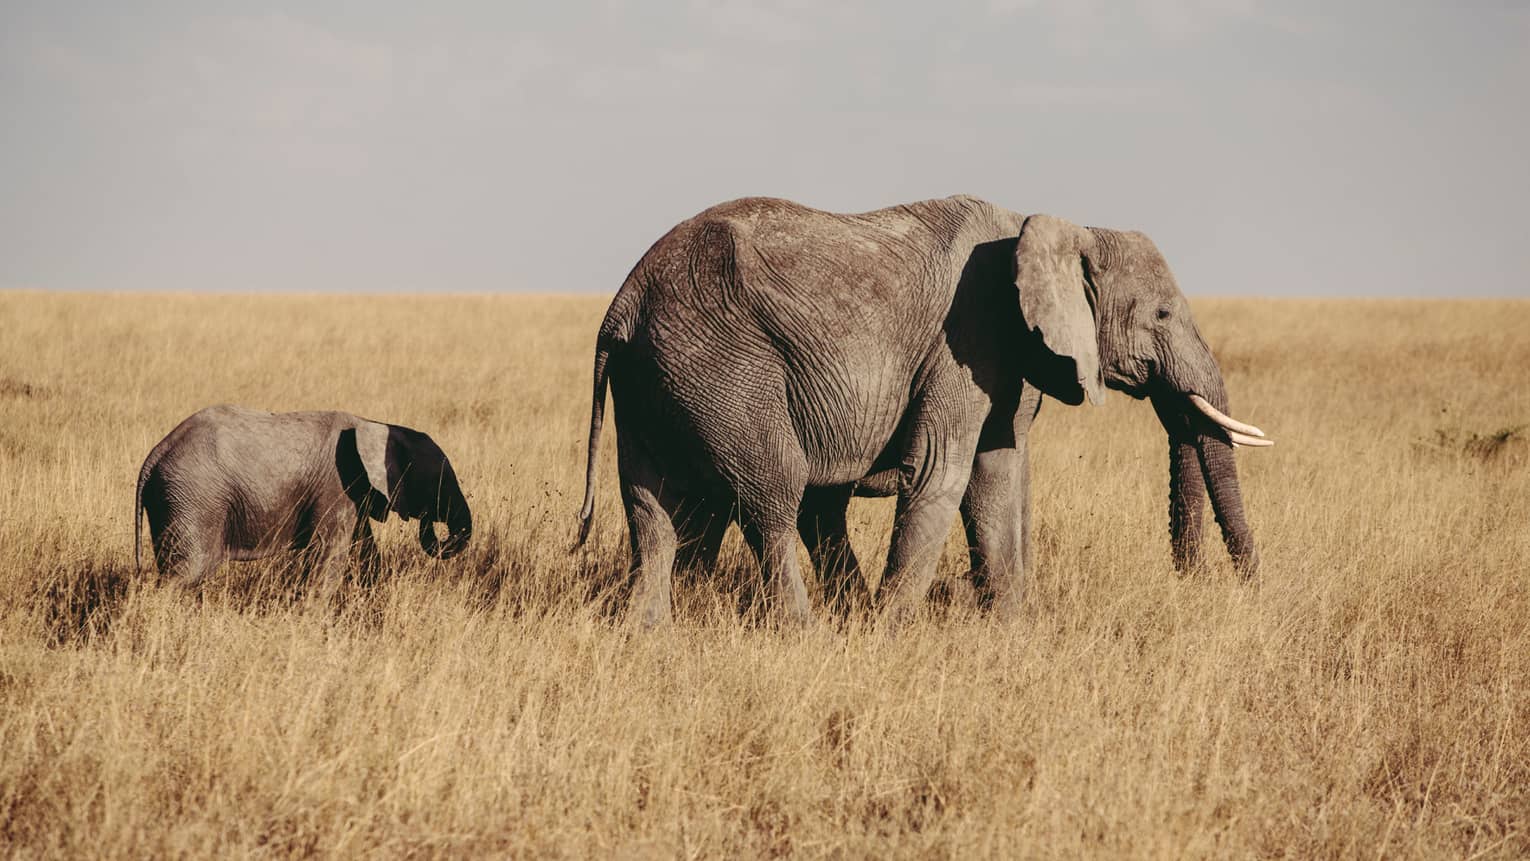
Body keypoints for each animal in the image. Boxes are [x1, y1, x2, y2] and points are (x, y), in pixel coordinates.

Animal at [578, 195, 1272, 627]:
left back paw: (651, 632)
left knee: (655, 511)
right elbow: (943, 472)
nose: (1205, 580)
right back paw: (805, 631)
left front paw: (1011, 630)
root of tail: (623, 303)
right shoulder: (965, 340)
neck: (1047, 225)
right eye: (1162, 314)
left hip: (661, 376)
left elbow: (995, 474)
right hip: (723, 365)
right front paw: (886, 632)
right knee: (770, 497)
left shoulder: (1008, 357)